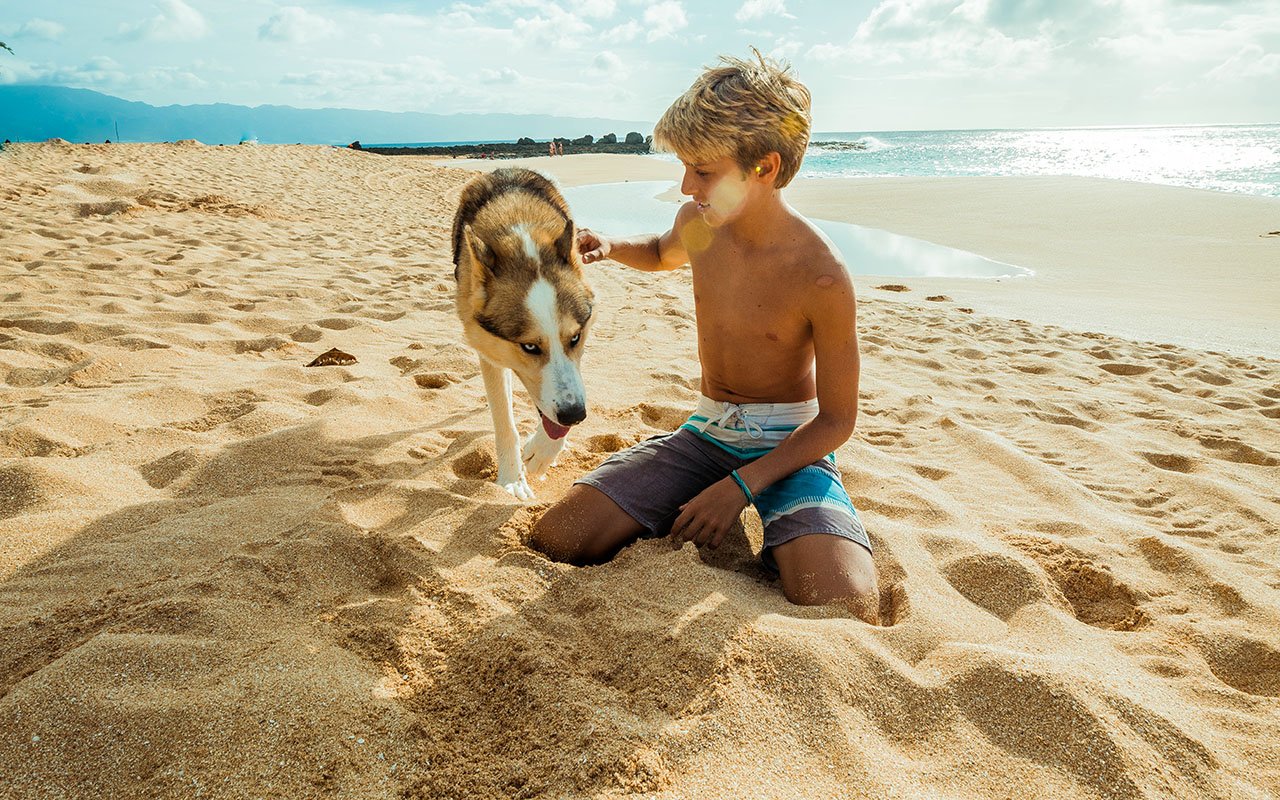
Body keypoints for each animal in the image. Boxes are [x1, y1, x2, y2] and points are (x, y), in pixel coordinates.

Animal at [450, 166, 593, 496]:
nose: (575, 415)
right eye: (529, 347)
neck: (522, 238)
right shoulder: (489, 352)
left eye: (575, 338)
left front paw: (543, 451)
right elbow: (505, 423)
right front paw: (512, 479)